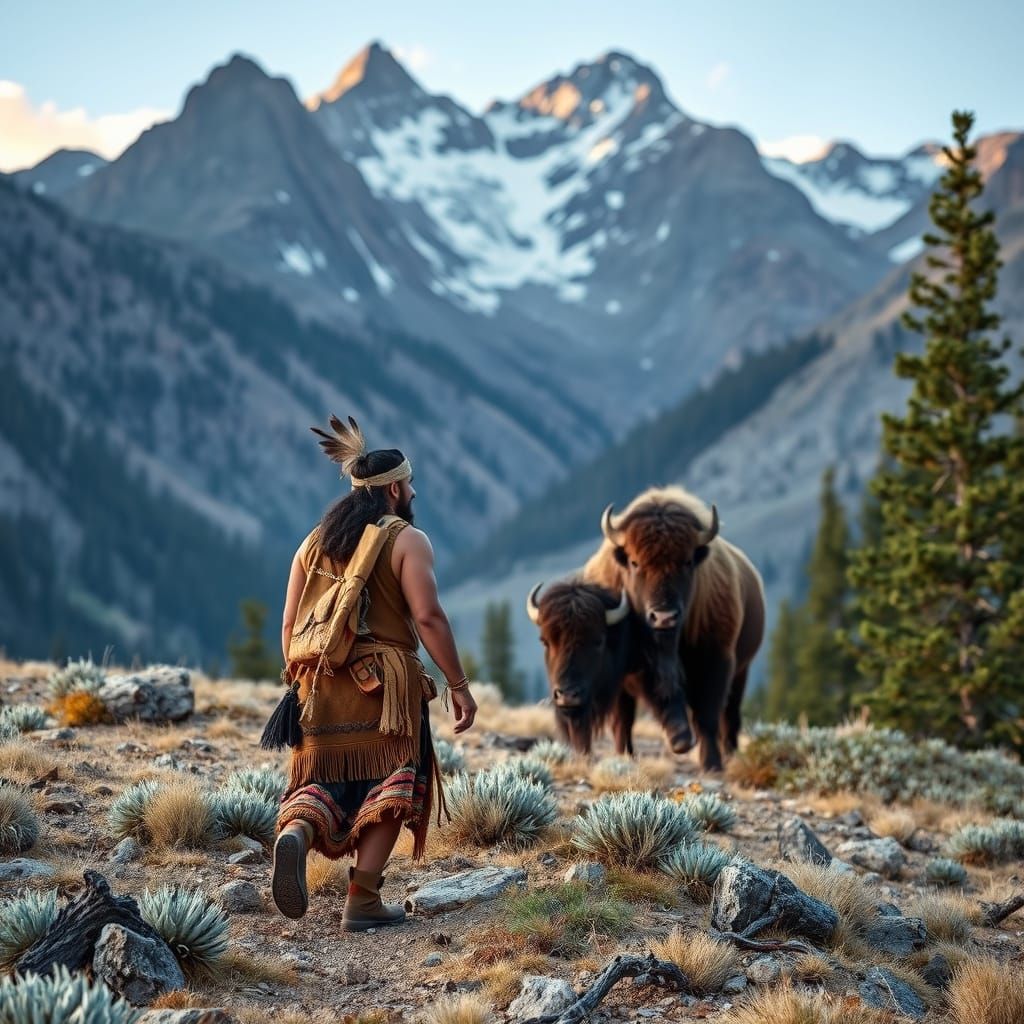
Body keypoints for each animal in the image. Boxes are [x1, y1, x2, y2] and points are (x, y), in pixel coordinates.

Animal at [584, 486, 765, 772]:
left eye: (687, 562)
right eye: (635, 562)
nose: (664, 617)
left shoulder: (716, 658)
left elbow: (707, 713)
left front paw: (711, 763)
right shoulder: (633, 668)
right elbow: (652, 700)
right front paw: (679, 739)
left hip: (741, 672)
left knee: (730, 716)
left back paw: (729, 754)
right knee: (624, 719)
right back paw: (626, 755)